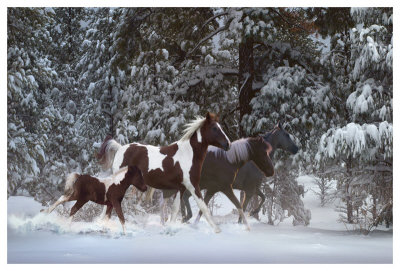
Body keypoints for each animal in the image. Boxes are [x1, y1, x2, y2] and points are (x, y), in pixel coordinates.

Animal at [96, 112, 231, 234]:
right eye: (214, 128)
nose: (228, 144)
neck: (188, 154)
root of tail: (120, 149)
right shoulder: (192, 185)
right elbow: (203, 206)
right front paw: (217, 230)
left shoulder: (180, 188)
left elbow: (175, 210)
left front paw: (170, 227)